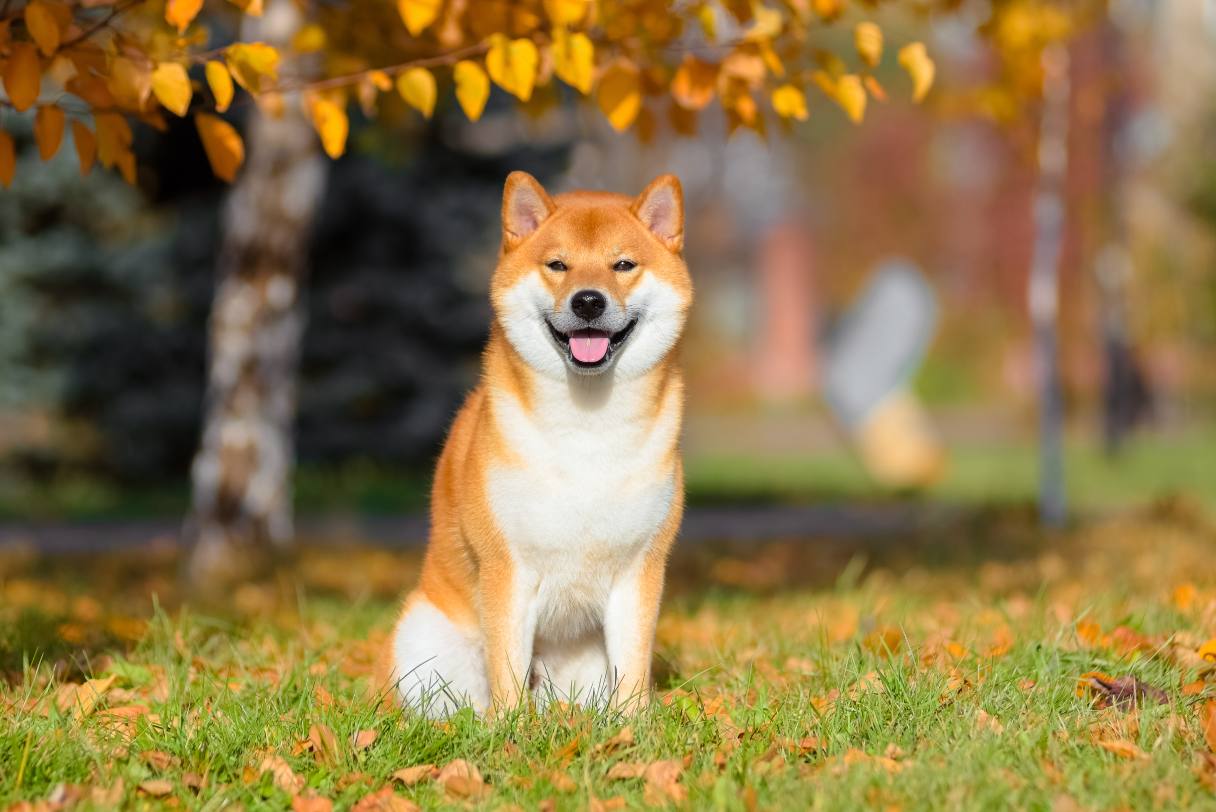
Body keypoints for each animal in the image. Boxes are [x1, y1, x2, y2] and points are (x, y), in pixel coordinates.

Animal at [381, 172, 695, 714]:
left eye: (623, 264)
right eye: (557, 265)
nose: (588, 300)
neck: (588, 426)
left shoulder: (640, 569)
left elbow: (633, 671)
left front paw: (633, 725)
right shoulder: (506, 566)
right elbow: (507, 667)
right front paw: (510, 728)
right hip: (424, 643)